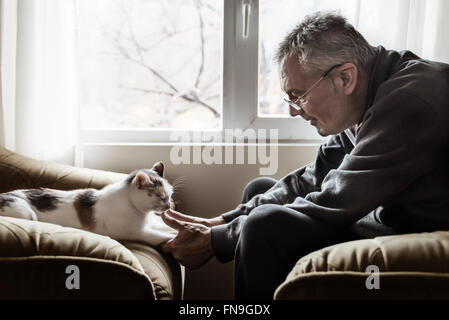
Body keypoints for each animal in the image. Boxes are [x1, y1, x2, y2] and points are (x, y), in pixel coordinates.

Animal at [0, 161, 178, 246]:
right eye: (161, 197)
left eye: (169, 196)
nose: (169, 206)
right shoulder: (136, 232)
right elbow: (158, 236)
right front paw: (172, 237)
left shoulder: (148, 224)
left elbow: (165, 228)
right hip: (26, 213)